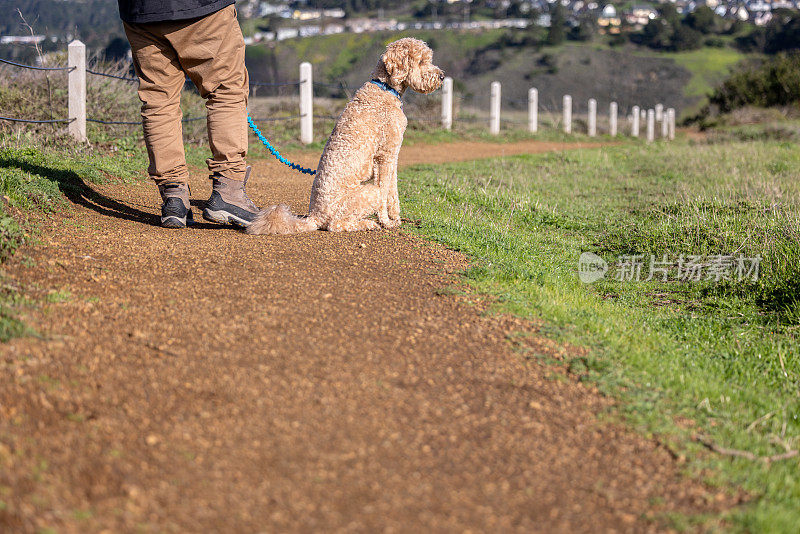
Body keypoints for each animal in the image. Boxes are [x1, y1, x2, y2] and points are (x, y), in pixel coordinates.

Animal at [247, 38, 444, 236]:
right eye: (421, 61)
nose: (442, 76)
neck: (385, 88)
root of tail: (314, 216)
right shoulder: (385, 156)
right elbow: (385, 192)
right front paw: (386, 222)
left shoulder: (392, 158)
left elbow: (393, 192)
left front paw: (395, 219)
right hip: (366, 194)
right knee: (336, 224)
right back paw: (367, 223)